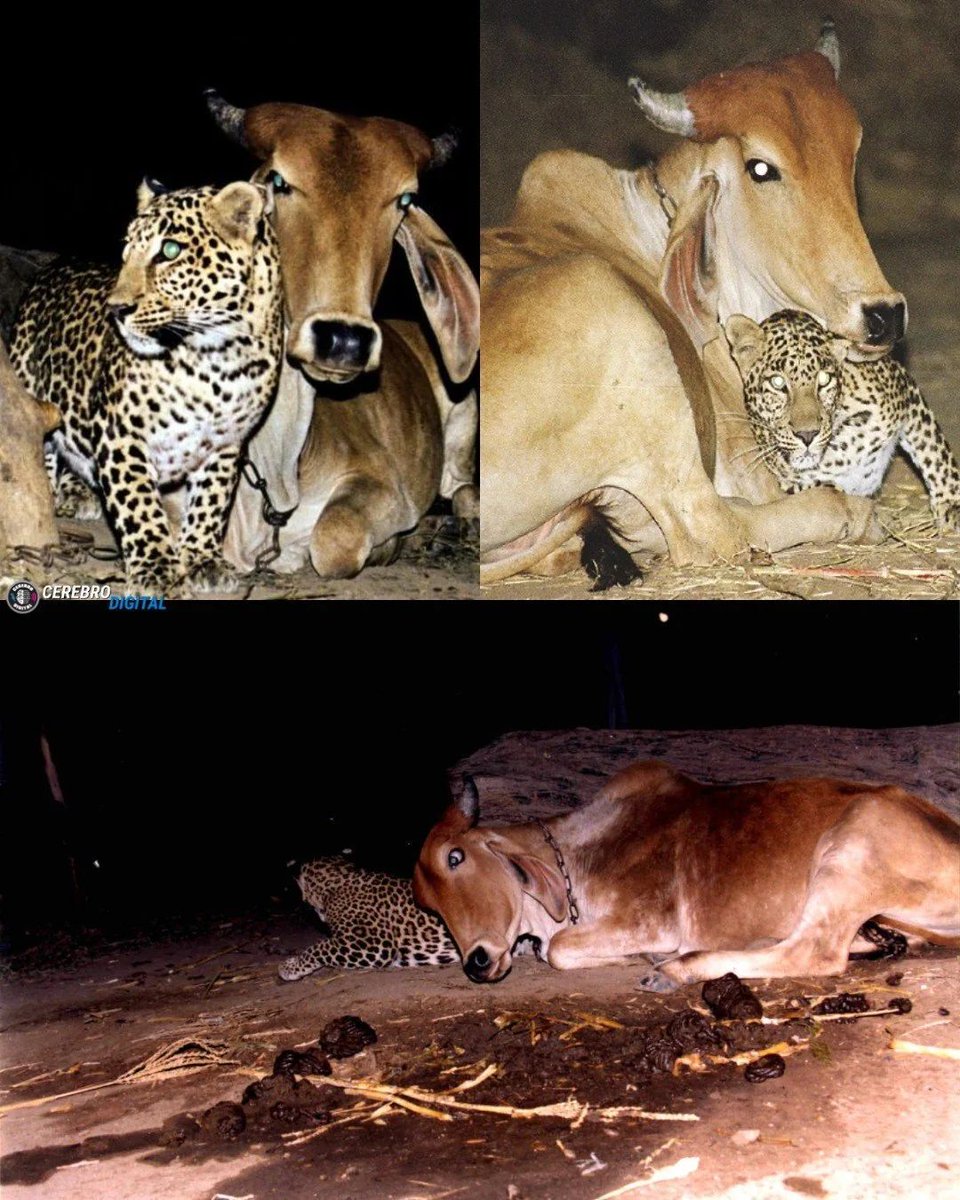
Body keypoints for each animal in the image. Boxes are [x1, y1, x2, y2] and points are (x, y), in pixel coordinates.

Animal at [9, 178, 283, 594]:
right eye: (125, 250)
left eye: (169, 251)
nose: (116, 309)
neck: (218, 357)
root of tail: (55, 265)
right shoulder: (121, 433)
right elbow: (139, 503)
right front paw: (157, 569)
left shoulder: (227, 443)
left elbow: (211, 501)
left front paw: (203, 560)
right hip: (28, 380)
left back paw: (79, 490)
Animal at [204, 94, 479, 578]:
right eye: (278, 180)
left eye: (405, 199)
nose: (344, 341)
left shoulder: (380, 482)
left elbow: (333, 539)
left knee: (463, 491)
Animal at [413, 763, 960, 990]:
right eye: (427, 903)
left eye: (456, 857)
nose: (477, 962)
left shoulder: (649, 918)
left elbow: (558, 950)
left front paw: (643, 957)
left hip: (851, 844)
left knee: (816, 953)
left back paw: (676, 969)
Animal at [725, 309, 960, 531]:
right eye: (777, 382)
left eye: (824, 379)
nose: (807, 435)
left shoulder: (905, 389)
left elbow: (934, 452)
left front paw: (952, 505)